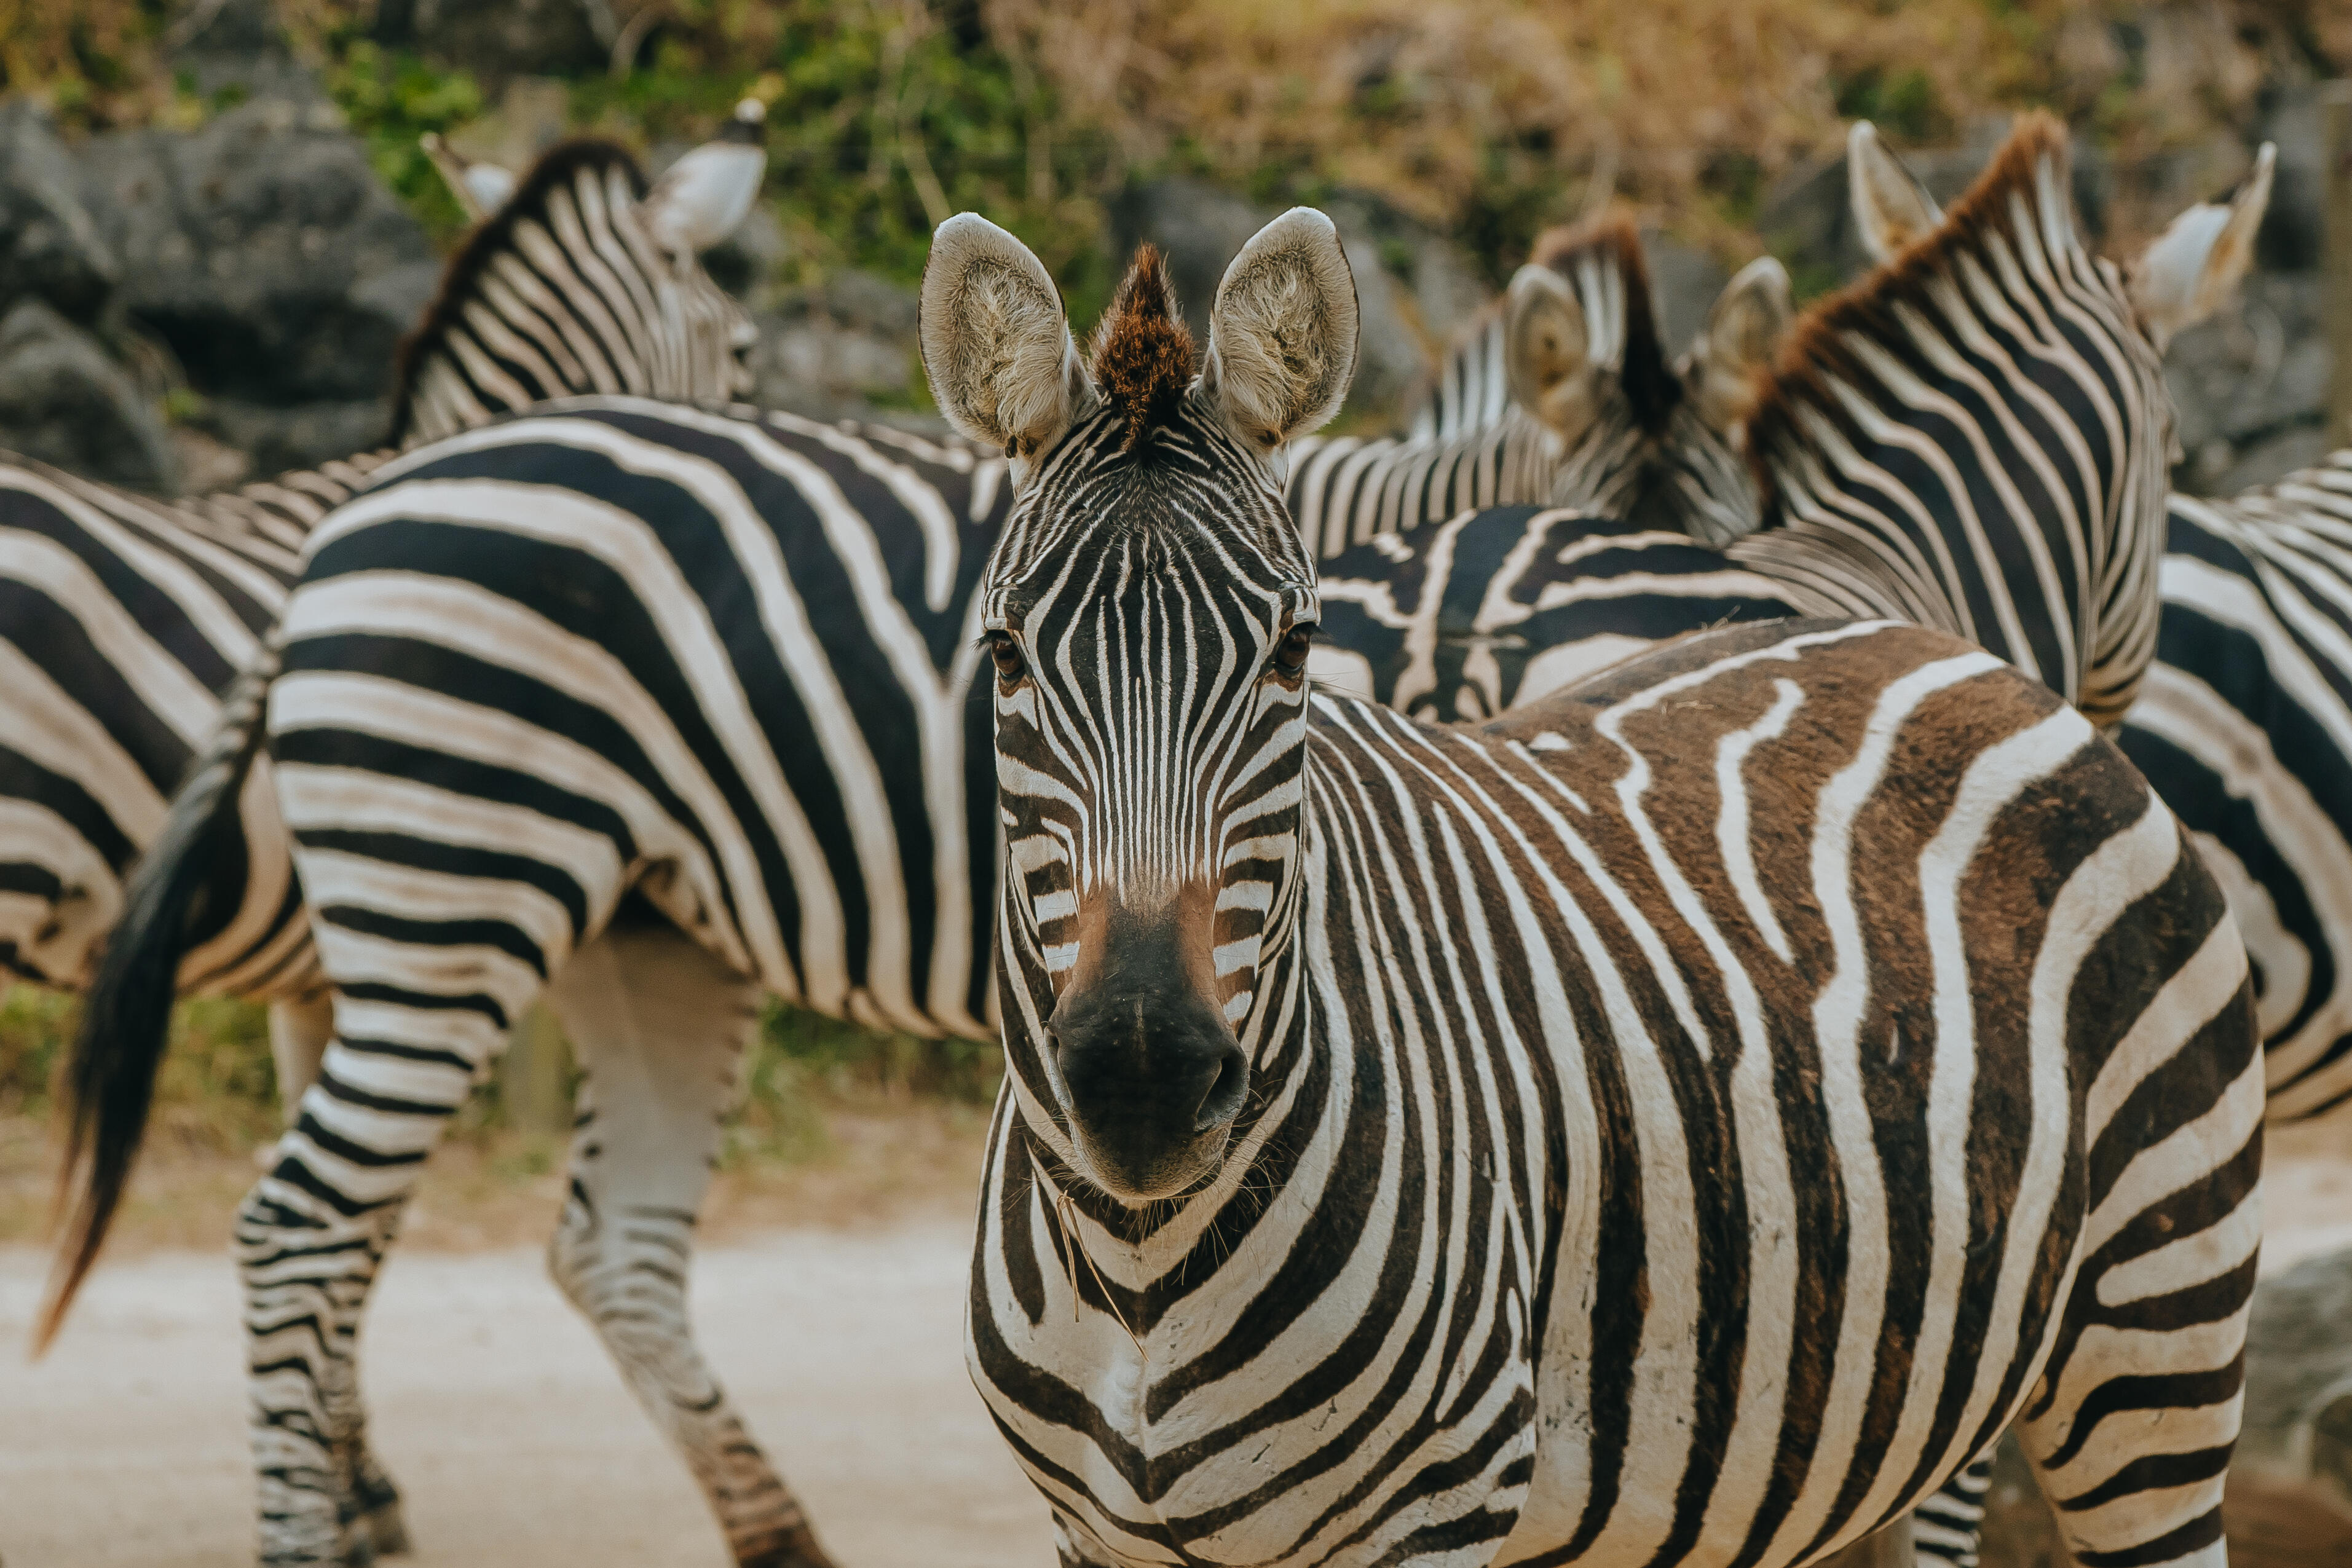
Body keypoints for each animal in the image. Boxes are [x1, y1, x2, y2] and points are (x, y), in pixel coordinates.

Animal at [928, 205, 2260, 1568]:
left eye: (1291, 653)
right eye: (1004, 655)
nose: (1139, 1084)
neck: (1138, 1267)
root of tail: (1954, 660)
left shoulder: (1438, 1510)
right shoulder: (1099, 1534)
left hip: (2152, 1333)